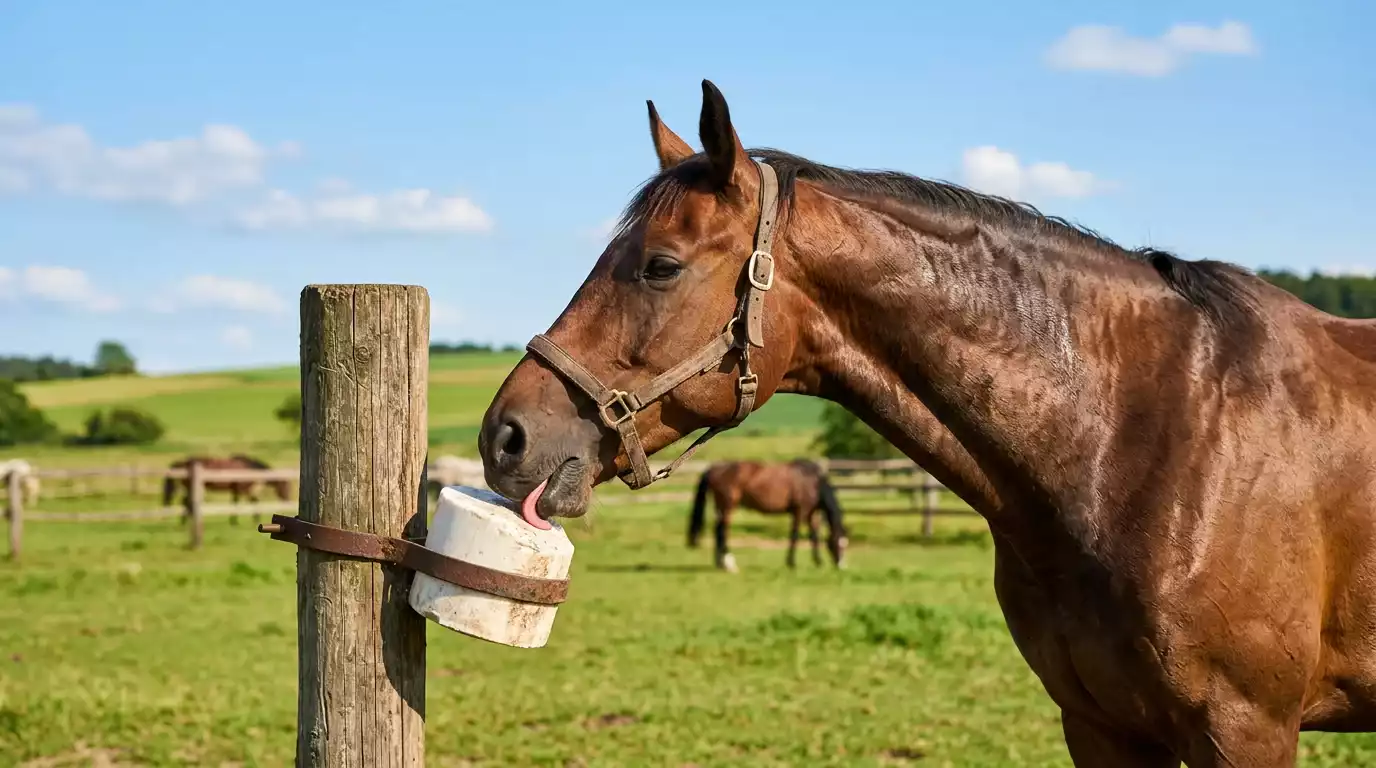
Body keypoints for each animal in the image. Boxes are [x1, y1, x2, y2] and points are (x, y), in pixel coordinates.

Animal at [164, 454, 292, 523]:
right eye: (284, 486)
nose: (287, 500)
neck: (251, 468)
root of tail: (182, 462)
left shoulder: (236, 489)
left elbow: (235, 502)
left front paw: (233, 521)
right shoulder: (244, 489)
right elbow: (251, 502)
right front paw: (254, 519)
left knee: (186, 502)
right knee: (186, 502)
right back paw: (184, 522)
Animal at [687, 459, 847, 572]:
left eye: (845, 544)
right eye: (836, 543)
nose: (841, 565)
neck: (812, 482)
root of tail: (714, 469)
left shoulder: (811, 513)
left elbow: (814, 536)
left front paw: (818, 561)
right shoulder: (800, 511)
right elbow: (795, 535)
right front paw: (791, 563)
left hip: (719, 507)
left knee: (717, 530)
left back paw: (719, 563)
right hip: (727, 507)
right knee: (723, 531)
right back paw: (729, 563)